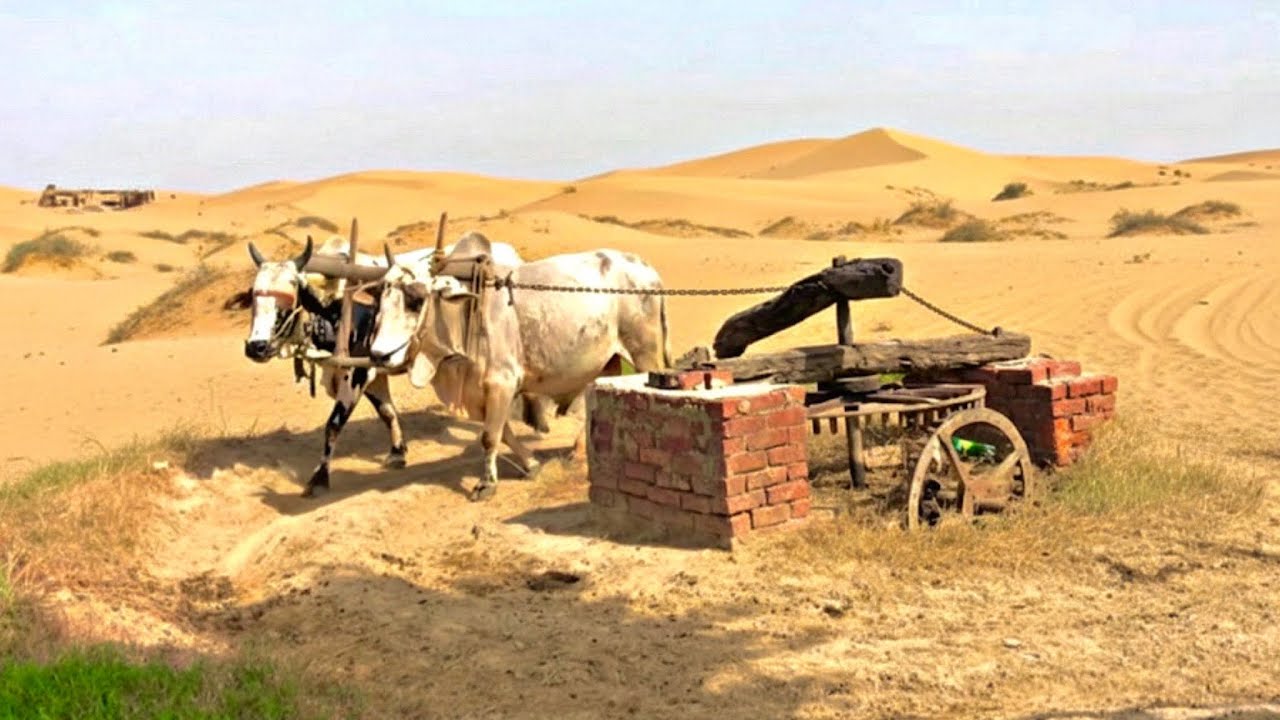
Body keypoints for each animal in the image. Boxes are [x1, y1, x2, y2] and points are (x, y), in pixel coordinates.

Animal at [242, 234, 532, 497]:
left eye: (291, 290)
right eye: (254, 296)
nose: (256, 346)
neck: (335, 305)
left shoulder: (356, 373)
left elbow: (333, 425)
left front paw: (319, 478)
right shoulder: (373, 370)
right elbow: (387, 412)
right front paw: (397, 453)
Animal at [366, 231, 670, 501]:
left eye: (416, 300)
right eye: (380, 299)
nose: (378, 355)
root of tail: (645, 267)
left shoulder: (501, 382)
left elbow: (490, 437)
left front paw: (486, 484)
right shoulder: (478, 393)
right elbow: (502, 433)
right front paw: (531, 464)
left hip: (643, 353)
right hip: (606, 361)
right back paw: (579, 452)